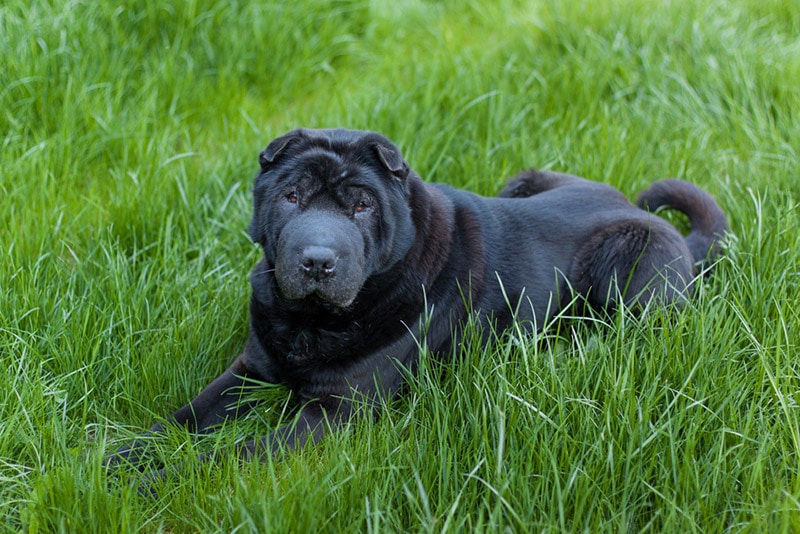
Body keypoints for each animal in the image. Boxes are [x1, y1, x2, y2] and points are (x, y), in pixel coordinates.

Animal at [109, 130, 728, 478]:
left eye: (361, 205)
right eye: (292, 196)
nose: (316, 261)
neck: (311, 321)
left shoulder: (337, 411)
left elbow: (230, 454)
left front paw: (150, 483)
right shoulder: (252, 368)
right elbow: (184, 419)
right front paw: (117, 457)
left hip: (630, 263)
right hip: (526, 179)